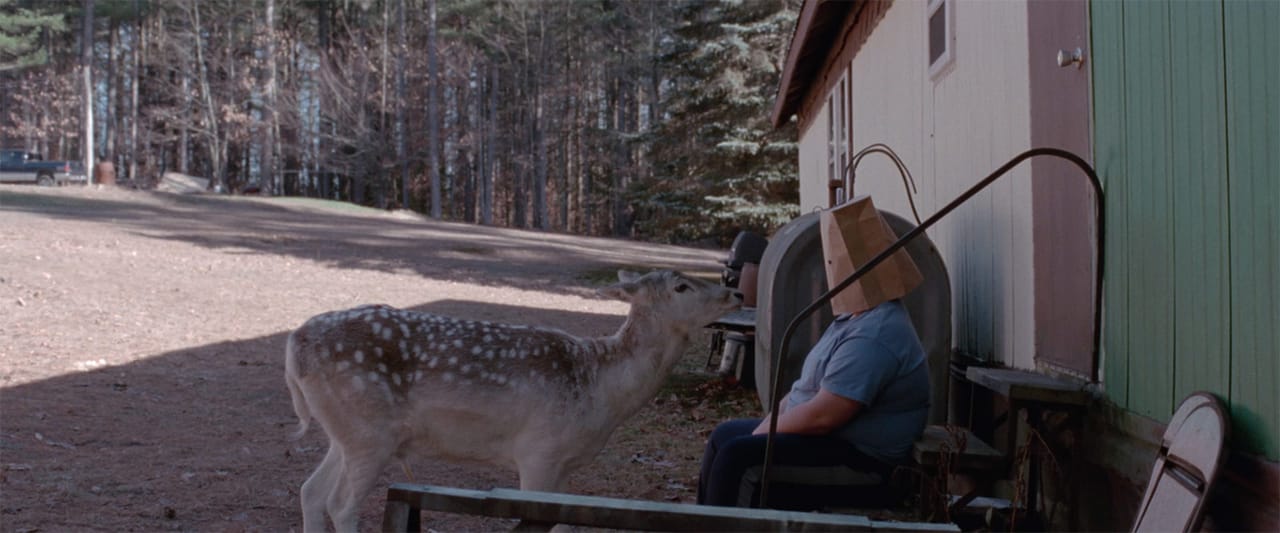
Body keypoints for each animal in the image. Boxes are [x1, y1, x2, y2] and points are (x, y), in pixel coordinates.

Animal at [284, 270, 743, 532]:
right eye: (681, 286)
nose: (735, 294)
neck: (600, 387)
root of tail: (295, 342)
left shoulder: (565, 464)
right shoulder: (538, 451)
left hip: (347, 432)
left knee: (310, 492)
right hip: (369, 431)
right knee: (340, 504)